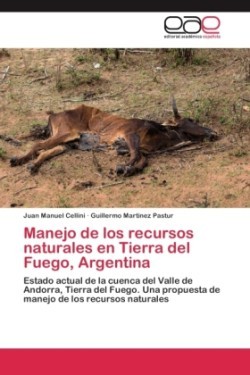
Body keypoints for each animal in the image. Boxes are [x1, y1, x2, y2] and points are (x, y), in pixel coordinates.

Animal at [9, 99, 217, 177]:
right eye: (191, 120)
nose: (213, 132)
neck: (161, 132)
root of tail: (54, 114)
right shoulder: (130, 136)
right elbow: (135, 157)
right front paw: (123, 168)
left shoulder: (139, 148)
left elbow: (142, 160)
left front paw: (128, 169)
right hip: (67, 134)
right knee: (38, 145)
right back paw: (18, 160)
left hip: (68, 143)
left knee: (46, 151)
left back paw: (33, 165)